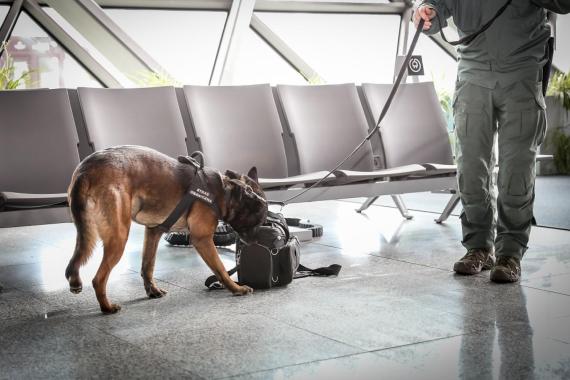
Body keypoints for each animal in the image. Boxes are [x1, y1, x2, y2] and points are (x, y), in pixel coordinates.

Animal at [63, 144, 268, 314]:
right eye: (259, 221)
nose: (258, 242)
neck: (224, 192)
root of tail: (85, 170)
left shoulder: (153, 232)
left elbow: (148, 266)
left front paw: (152, 290)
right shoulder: (202, 239)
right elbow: (220, 269)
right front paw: (236, 288)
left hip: (86, 229)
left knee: (77, 257)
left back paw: (75, 281)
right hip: (119, 237)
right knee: (98, 279)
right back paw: (107, 307)